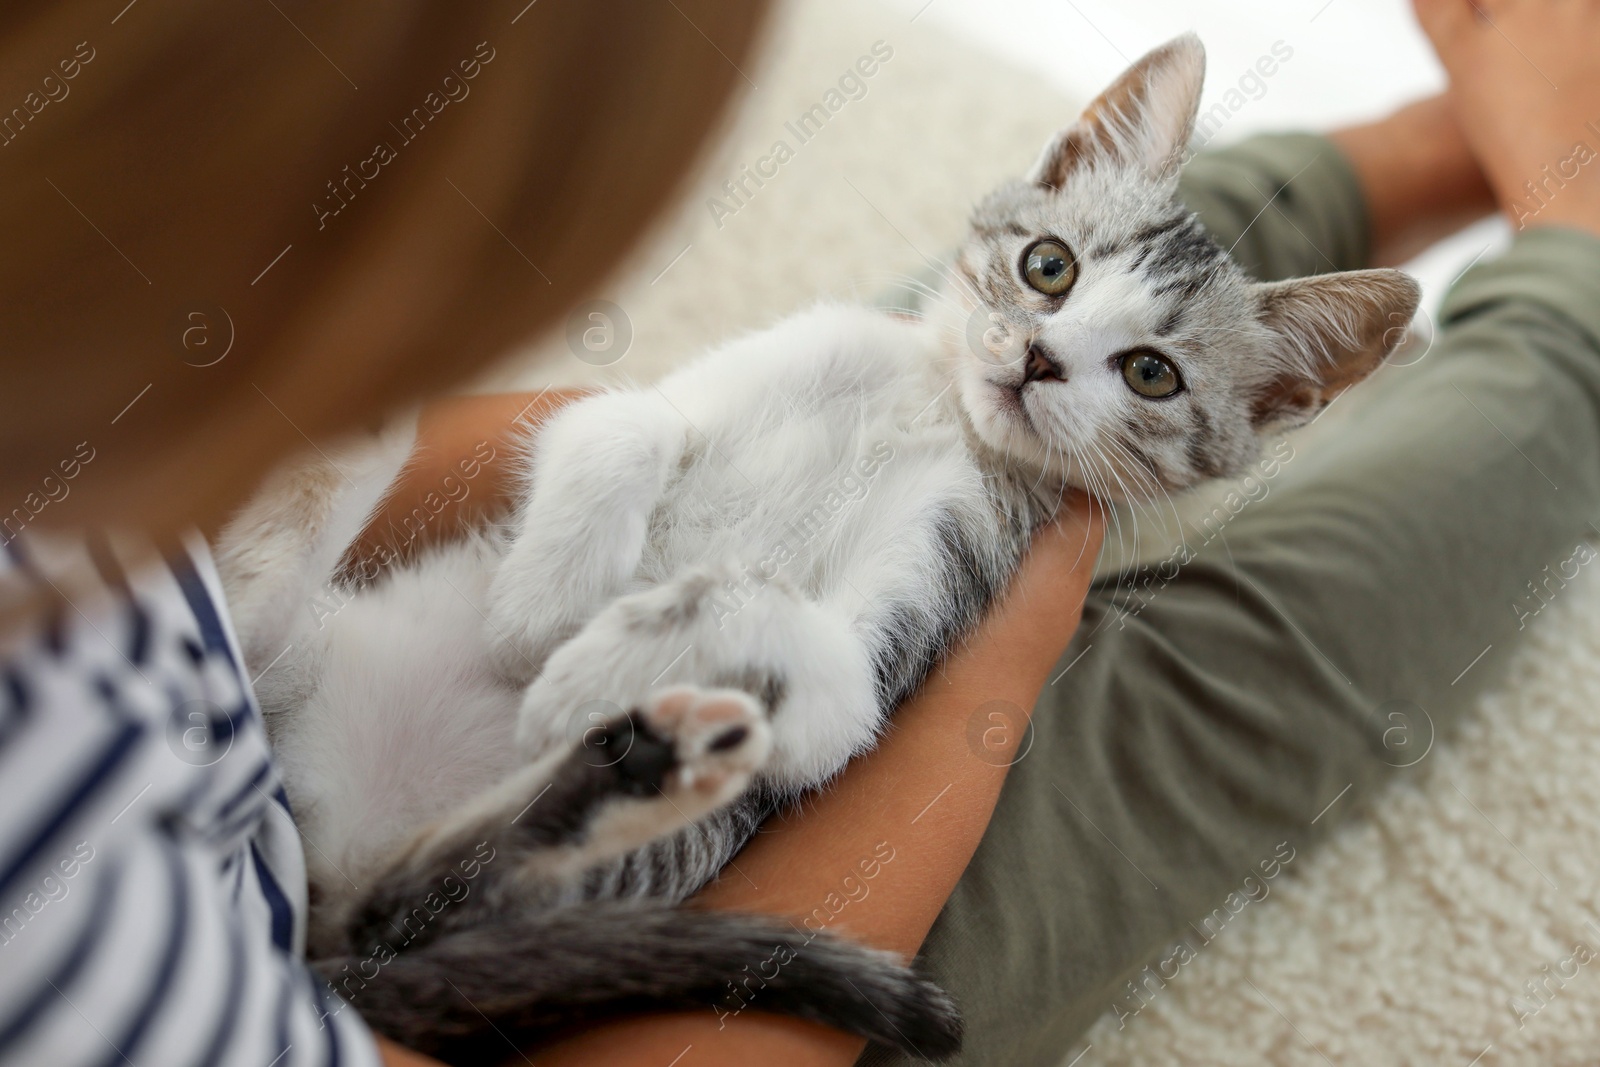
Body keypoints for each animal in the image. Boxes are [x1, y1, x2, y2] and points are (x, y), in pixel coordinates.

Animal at [219, 35, 1420, 1067]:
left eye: (1151, 374)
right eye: (1049, 266)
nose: (1036, 358)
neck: (931, 411)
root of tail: (326, 865)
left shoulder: (923, 594)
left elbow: (804, 655)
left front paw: (600, 648)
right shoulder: (717, 379)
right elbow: (622, 423)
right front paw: (547, 597)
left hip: (527, 882)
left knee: (454, 877)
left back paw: (647, 758)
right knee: (265, 633)